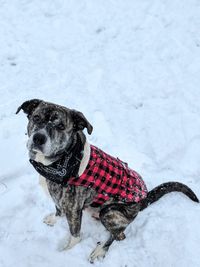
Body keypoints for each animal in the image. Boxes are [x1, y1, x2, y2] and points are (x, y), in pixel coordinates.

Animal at [16, 99, 199, 264]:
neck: (60, 162)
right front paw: (54, 219)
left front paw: (66, 252)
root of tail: (143, 199)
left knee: (119, 235)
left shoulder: (74, 210)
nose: (38, 138)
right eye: (36, 118)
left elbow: (75, 235)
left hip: (110, 211)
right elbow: (58, 209)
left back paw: (100, 250)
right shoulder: (60, 200)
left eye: (60, 126)